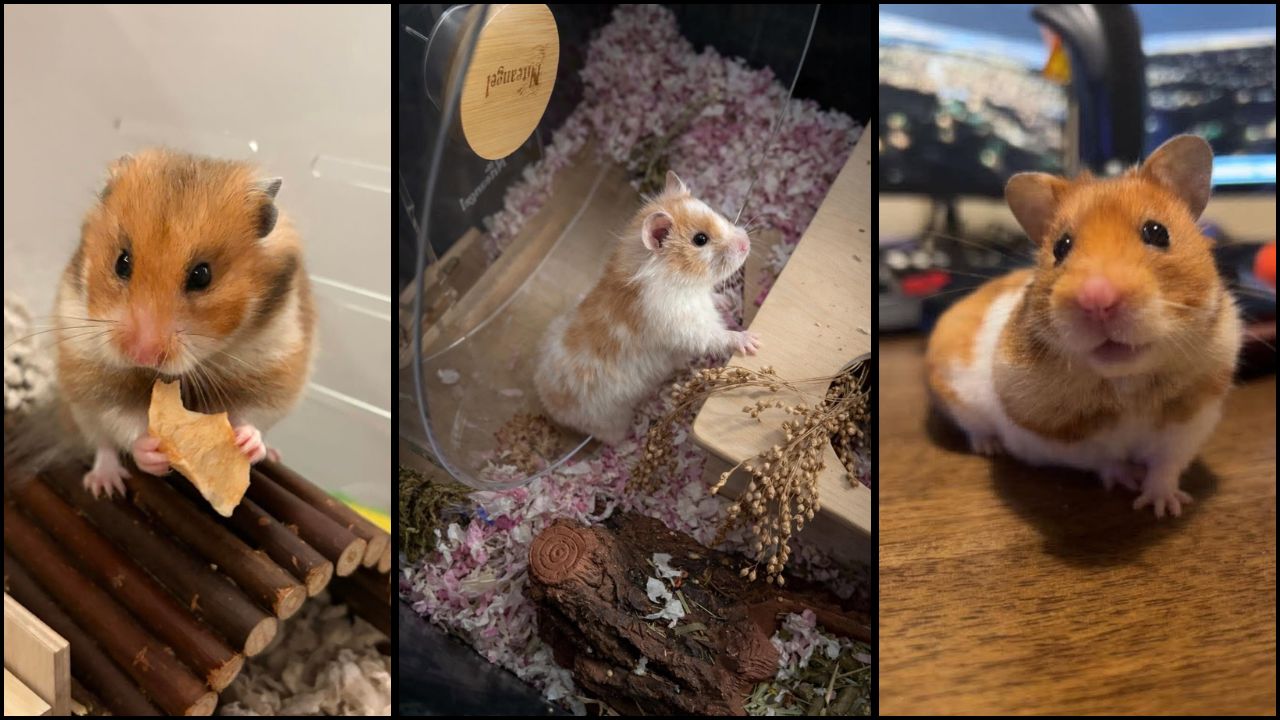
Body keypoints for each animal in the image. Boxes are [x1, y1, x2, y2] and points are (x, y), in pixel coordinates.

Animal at [53, 148, 316, 497]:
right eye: (122, 262)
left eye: (202, 275)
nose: (142, 355)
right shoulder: (95, 372)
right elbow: (124, 419)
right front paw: (152, 453)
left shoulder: (275, 366)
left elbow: (253, 415)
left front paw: (246, 444)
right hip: (80, 405)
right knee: (102, 444)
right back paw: (104, 485)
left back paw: (272, 454)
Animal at [534, 171, 759, 445]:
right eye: (700, 239)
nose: (746, 243)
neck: (677, 278)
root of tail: (547, 402)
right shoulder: (686, 327)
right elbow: (718, 336)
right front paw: (752, 341)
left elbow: (714, 301)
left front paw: (726, 301)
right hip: (609, 420)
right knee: (613, 439)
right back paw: (634, 437)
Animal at [925, 135, 1241, 518]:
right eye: (1061, 247)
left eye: (1157, 232)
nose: (1097, 299)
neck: (1128, 384)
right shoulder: (1055, 438)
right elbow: (1103, 459)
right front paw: (1129, 478)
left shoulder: (1190, 423)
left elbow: (1166, 465)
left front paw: (1162, 507)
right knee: (973, 428)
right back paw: (989, 446)